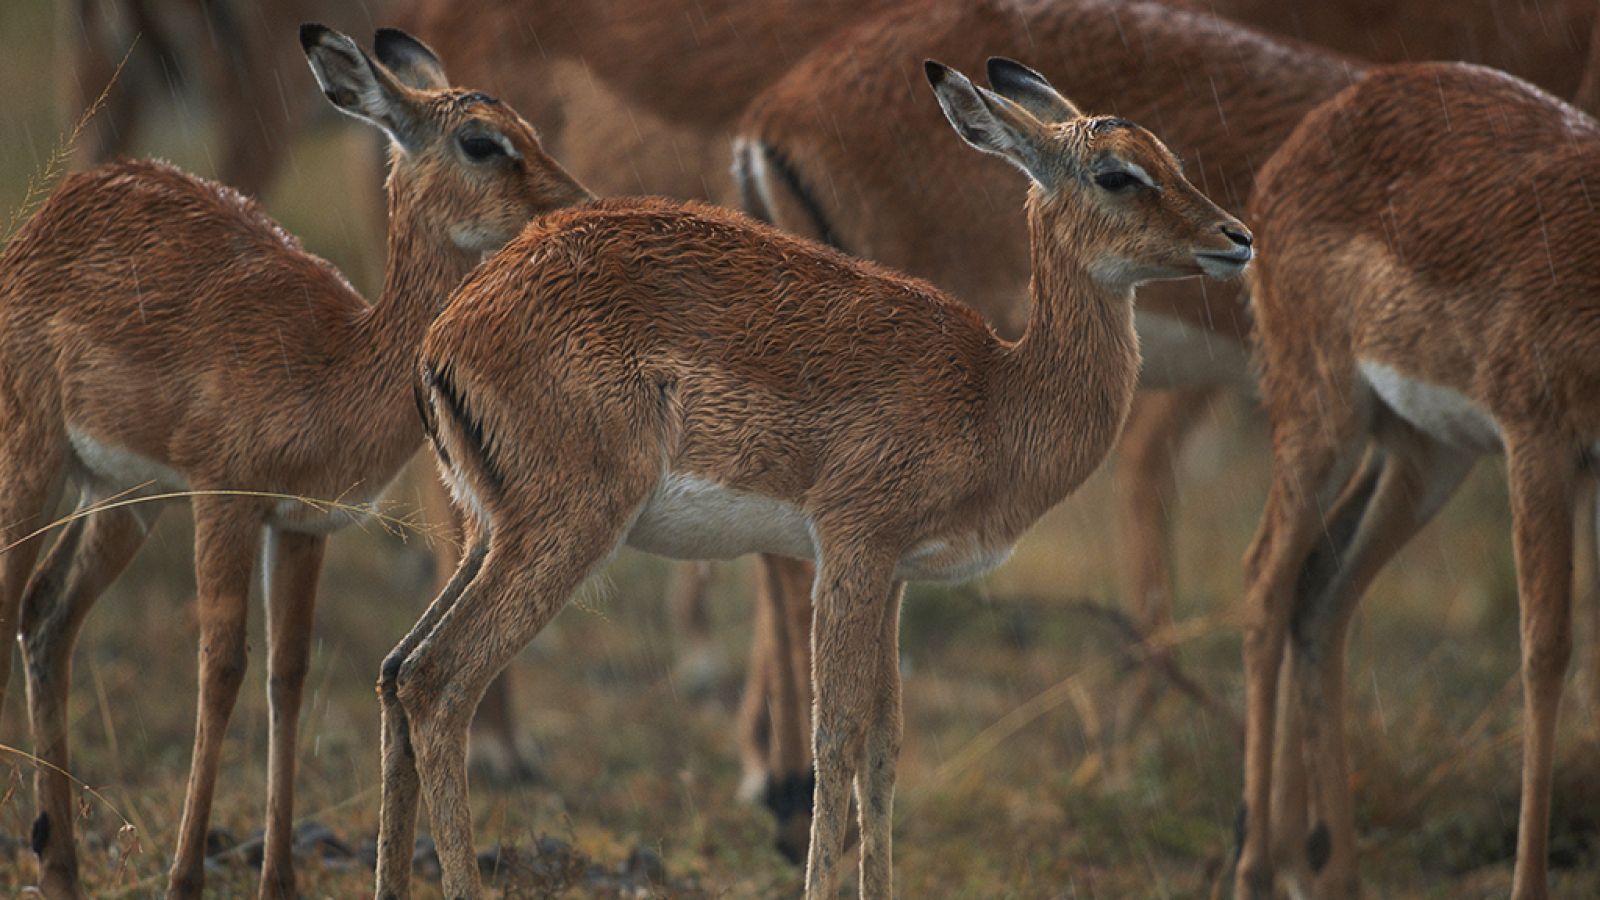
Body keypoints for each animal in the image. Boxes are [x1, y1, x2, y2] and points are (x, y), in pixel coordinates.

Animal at [0, 24, 588, 898]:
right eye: (482, 141)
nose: (575, 204)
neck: (332, 363)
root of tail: (52, 211)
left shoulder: (303, 525)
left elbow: (289, 677)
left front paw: (277, 876)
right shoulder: (225, 501)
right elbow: (221, 670)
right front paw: (185, 875)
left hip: (122, 494)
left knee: (47, 614)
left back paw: (61, 865)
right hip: (35, 457)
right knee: (15, 599)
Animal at [378, 57, 1250, 899]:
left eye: (1167, 155)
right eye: (1117, 173)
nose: (1236, 237)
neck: (997, 392)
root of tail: (447, 329)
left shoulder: (894, 576)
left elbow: (886, 744)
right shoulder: (851, 549)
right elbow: (837, 735)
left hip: (491, 534)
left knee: (395, 672)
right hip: (567, 531)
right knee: (438, 682)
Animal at [1236, 62, 1600, 899]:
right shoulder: (1539, 441)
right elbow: (1544, 650)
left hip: (1426, 453)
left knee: (1321, 590)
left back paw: (1331, 872)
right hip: (1321, 415)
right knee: (1265, 580)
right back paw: (1256, 868)